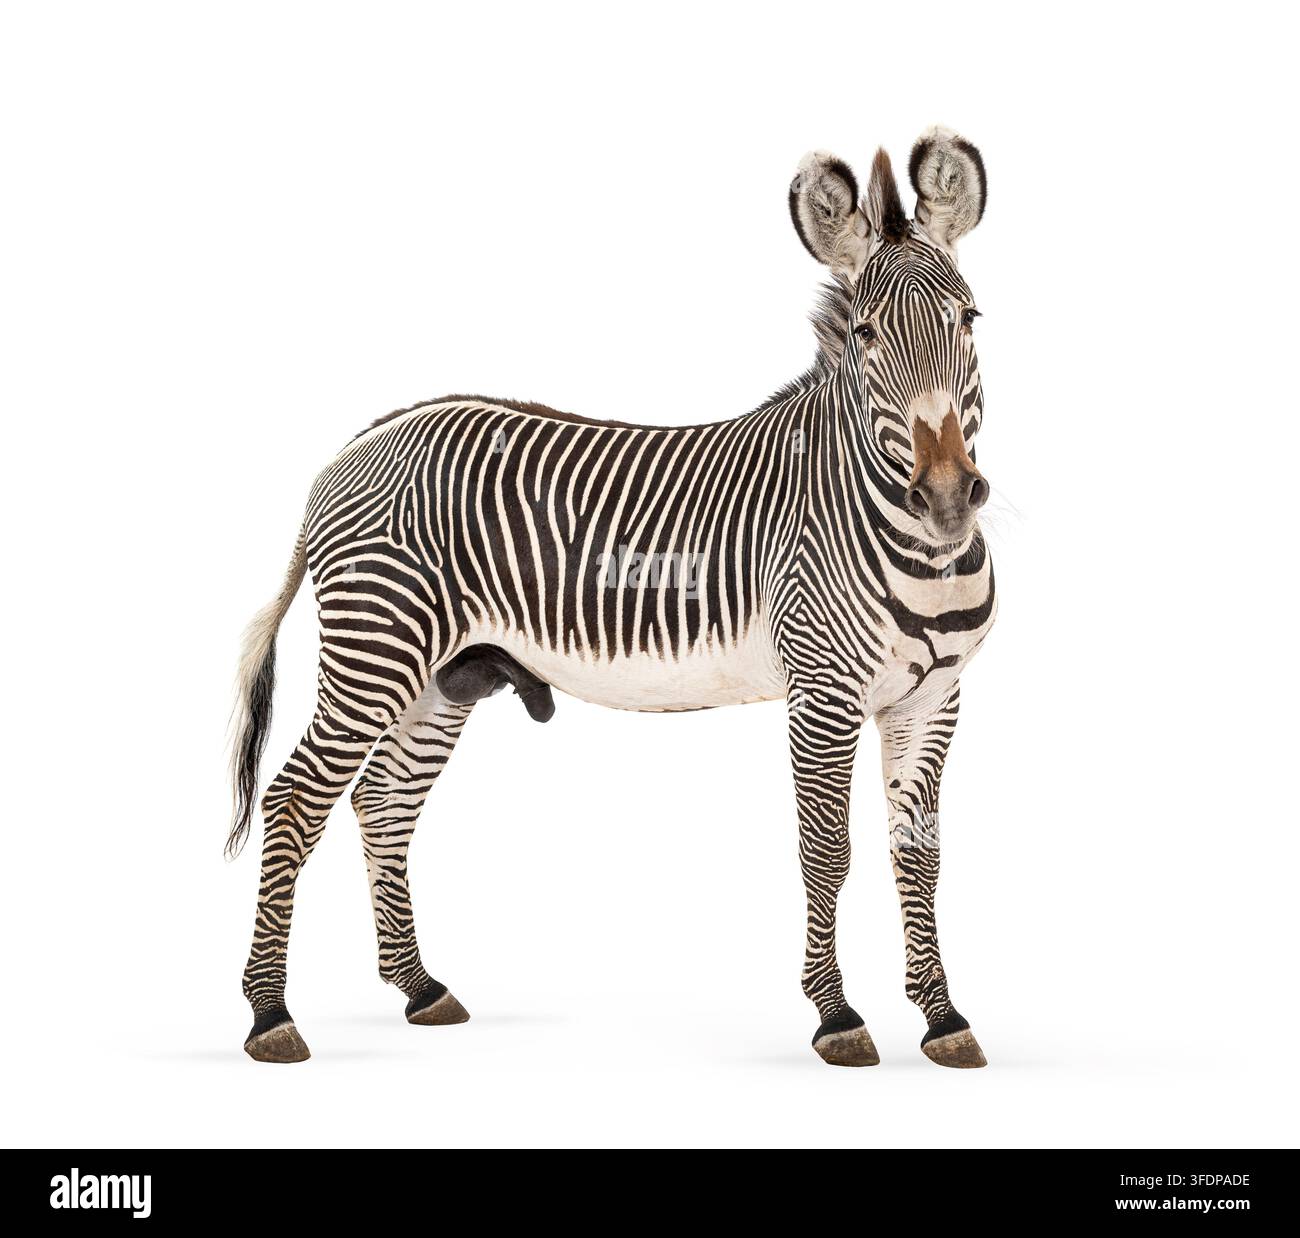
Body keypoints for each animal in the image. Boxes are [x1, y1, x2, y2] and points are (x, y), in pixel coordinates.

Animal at [230, 126, 996, 1069]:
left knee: (382, 804)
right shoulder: (823, 691)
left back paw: (419, 987)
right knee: (295, 801)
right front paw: (837, 1015)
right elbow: (826, 850)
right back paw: (270, 1014)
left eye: (969, 319)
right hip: (376, 653)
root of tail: (348, 452)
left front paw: (942, 1016)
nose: (948, 496)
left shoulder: (934, 698)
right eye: (867, 332)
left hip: (442, 676)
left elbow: (917, 856)